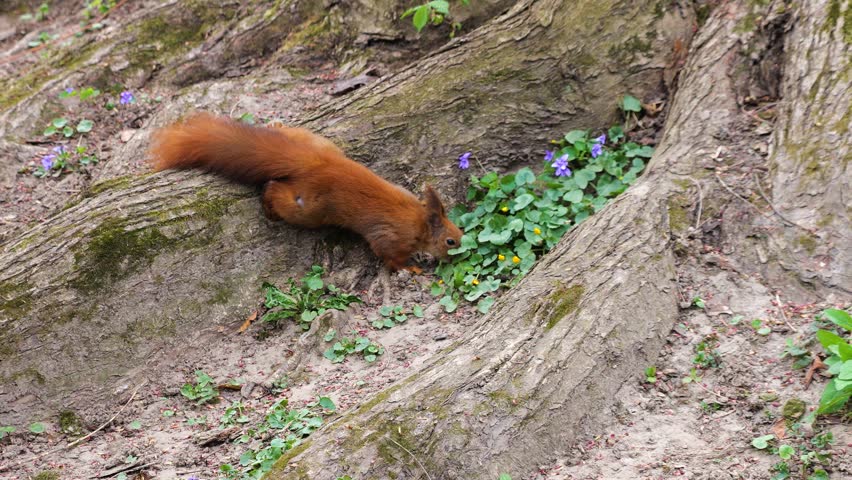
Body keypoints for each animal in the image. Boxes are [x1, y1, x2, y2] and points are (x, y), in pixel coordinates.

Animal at [148, 113, 463, 272]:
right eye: (451, 241)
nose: (458, 256)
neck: (420, 221)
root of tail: (317, 164)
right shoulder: (391, 236)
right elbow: (389, 256)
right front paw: (411, 268)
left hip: (315, 142)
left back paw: (276, 125)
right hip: (310, 209)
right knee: (274, 190)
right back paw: (269, 208)